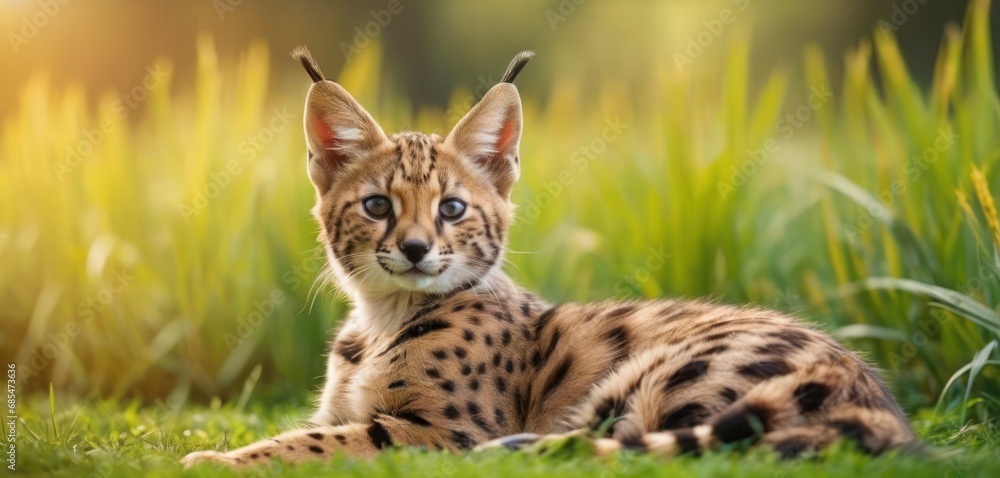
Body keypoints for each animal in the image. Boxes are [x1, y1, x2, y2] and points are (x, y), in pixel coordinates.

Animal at [180, 47, 916, 466]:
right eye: (379, 206)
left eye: (452, 210)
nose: (415, 249)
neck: (382, 315)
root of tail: (873, 394)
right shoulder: (352, 410)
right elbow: (313, 430)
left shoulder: (438, 430)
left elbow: (312, 443)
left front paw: (217, 459)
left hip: (648, 378)